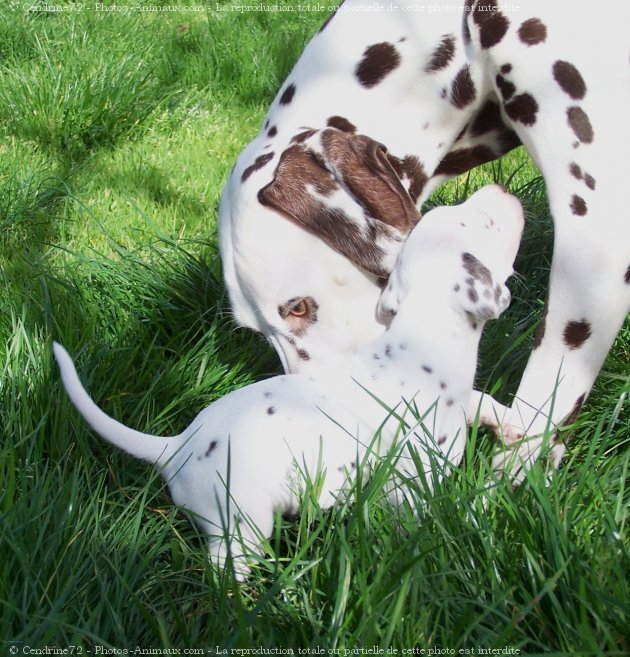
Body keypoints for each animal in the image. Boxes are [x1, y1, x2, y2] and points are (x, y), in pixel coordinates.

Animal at [56, 184, 524, 580]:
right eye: (484, 222)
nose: (500, 189)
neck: (421, 335)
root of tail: (177, 446)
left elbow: (478, 399)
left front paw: (509, 423)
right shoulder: (413, 477)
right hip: (243, 525)